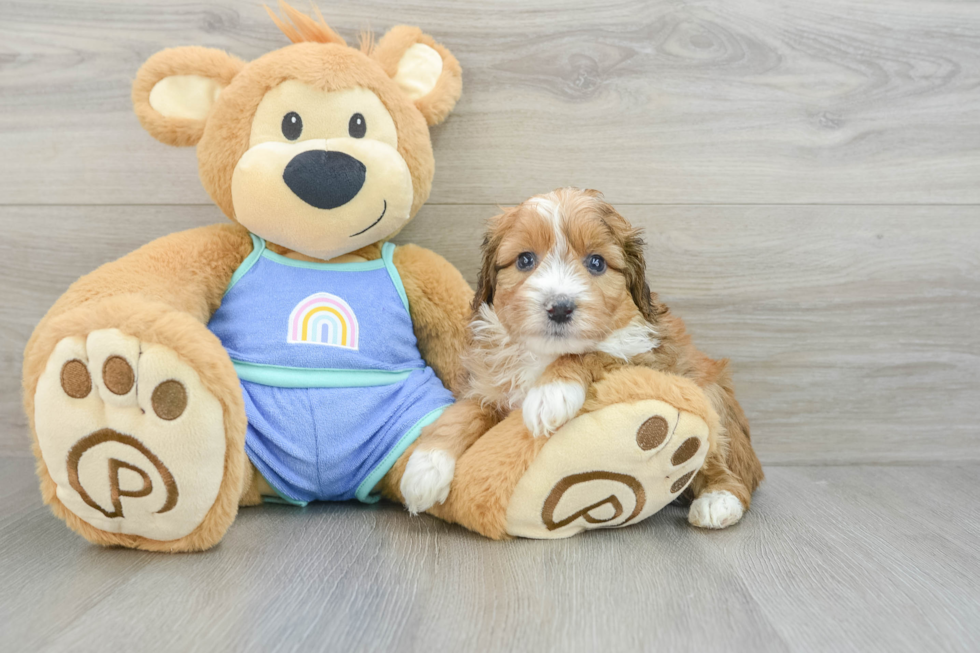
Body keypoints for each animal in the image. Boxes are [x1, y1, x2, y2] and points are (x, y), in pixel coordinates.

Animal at [400, 186, 764, 528]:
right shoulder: (489, 387)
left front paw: (550, 393)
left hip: (711, 398)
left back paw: (719, 500)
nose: (560, 307)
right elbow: (464, 412)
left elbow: (592, 352)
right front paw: (425, 466)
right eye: (525, 260)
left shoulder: (645, 361)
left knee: (727, 467)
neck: (543, 354)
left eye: (596, 263)